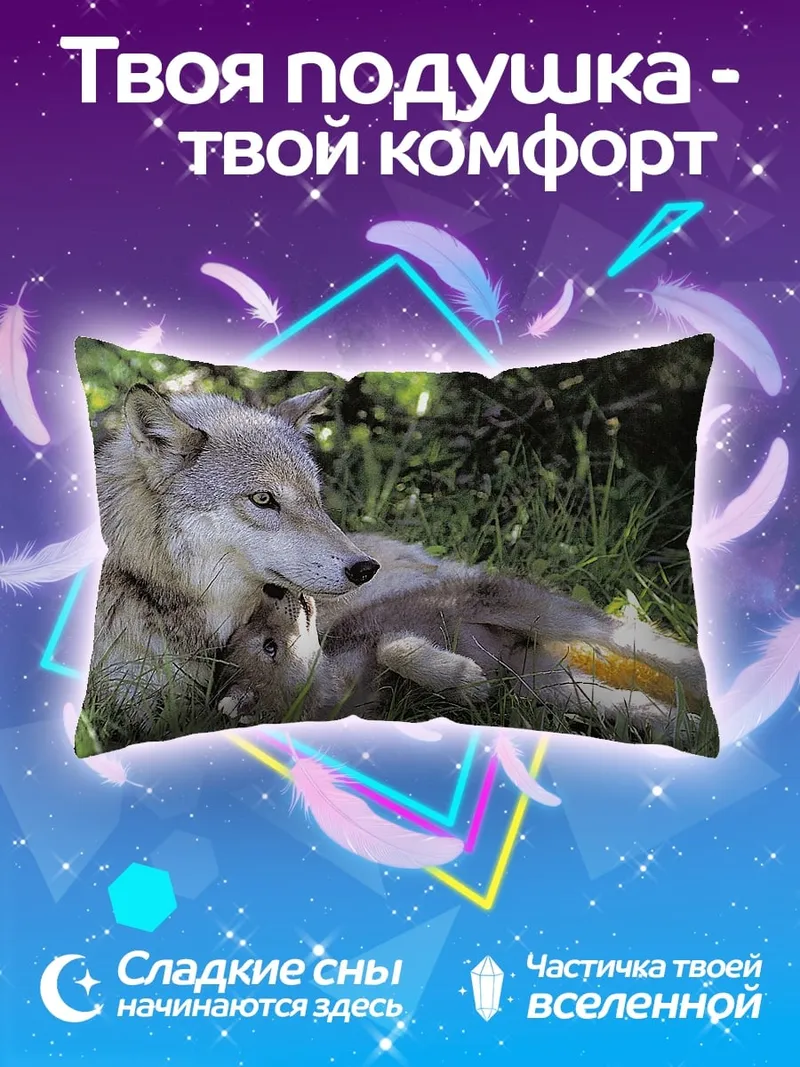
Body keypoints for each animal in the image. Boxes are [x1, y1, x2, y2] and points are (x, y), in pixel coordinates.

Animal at [220, 563, 709, 743]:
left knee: (637, 641)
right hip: (549, 685)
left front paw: (463, 677)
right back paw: (686, 727)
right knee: (632, 703)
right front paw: (467, 682)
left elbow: (397, 648)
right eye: (268, 647)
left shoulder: (379, 637)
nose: (275, 588)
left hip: (537, 614)